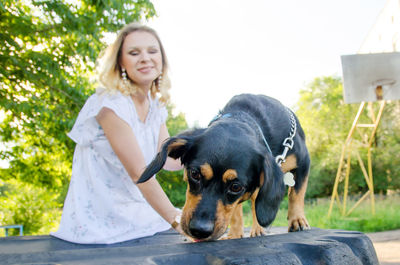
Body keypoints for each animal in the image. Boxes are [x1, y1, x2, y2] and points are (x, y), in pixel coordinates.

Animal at [138, 93, 310, 239]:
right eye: (194, 174)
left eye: (236, 187)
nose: (199, 230)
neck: (242, 117)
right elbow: (235, 212)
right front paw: (235, 233)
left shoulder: (304, 162)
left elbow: (296, 194)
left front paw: (297, 219)